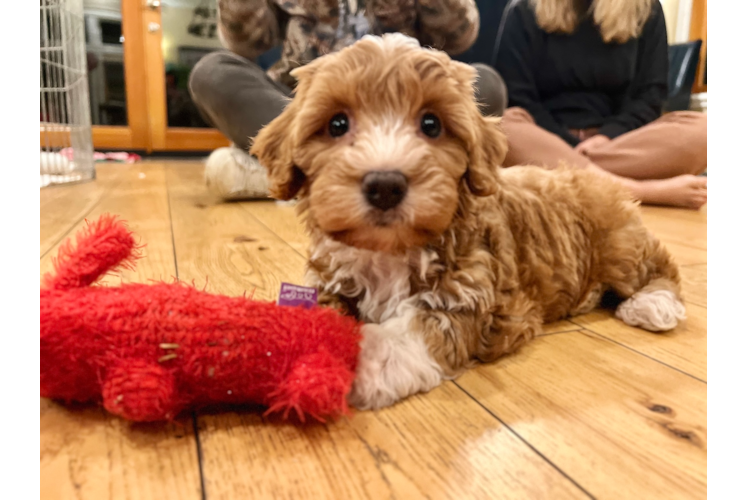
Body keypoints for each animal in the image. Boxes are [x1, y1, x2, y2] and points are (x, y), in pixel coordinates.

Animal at [250, 34, 684, 410]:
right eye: (337, 124)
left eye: (431, 125)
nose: (385, 185)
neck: (390, 251)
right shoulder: (331, 279)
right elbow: (320, 309)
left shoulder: (470, 297)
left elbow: (418, 329)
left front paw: (365, 359)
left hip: (619, 244)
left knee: (660, 267)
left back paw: (652, 304)